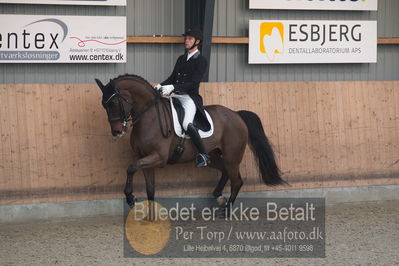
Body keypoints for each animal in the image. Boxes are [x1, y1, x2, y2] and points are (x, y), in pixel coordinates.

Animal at [95, 75, 286, 214]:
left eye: (114, 103)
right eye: (104, 105)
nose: (117, 132)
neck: (149, 118)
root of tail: (236, 115)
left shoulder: (158, 158)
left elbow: (130, 168)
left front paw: (130, 198)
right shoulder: (145, 158)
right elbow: (149, 189)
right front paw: (150, 217)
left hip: (232, 157)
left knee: (237, 181)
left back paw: (226, 210)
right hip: (214, 155)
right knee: (225, 172)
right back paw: (219, 197)